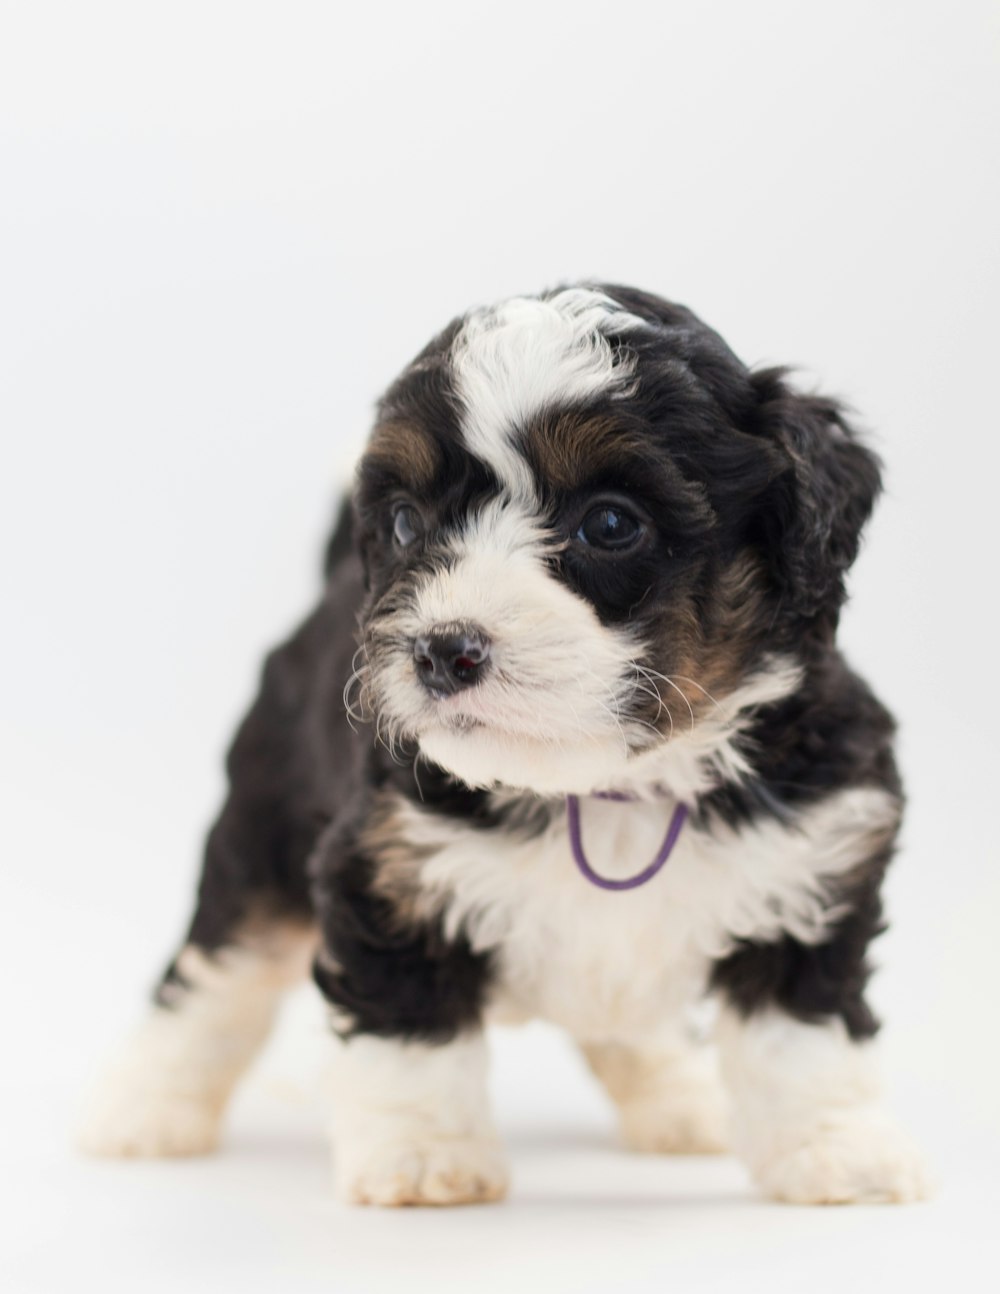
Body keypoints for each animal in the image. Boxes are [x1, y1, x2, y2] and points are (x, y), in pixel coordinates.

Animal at [79, 283, 926, 1200]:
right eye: (407, 525)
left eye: (611, 523)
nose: (441, 649)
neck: (606, 787)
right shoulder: (384, 872)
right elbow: (412, 1033)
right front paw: (425, 1158)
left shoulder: (815, 867)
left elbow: (803, 1037)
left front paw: (834, 1150)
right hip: (259, 832)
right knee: (215, 977)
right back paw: (147, 1109)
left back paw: (680, 1099)